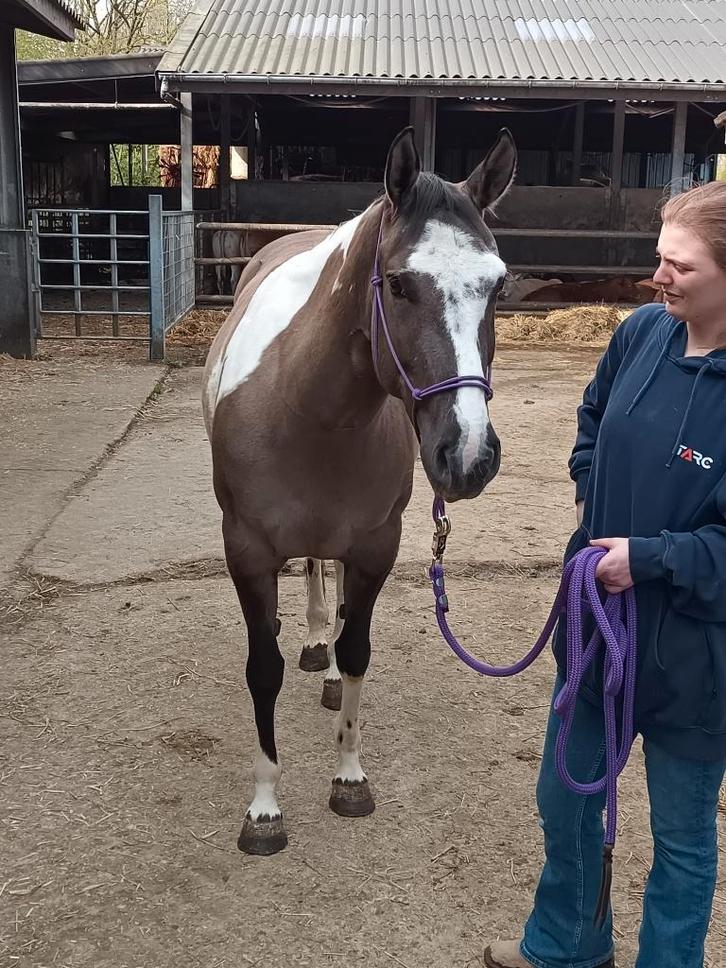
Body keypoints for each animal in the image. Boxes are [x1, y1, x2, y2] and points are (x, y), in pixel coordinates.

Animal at [202, 126, 517, 855]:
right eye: (399, 284)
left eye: (498, 285)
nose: (468, 455)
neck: (306, 406)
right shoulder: (247, 551)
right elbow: (263, 669)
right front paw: (265, 808)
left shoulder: (377, 545)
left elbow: (359, 649)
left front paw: (348, 775)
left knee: (333, 585)